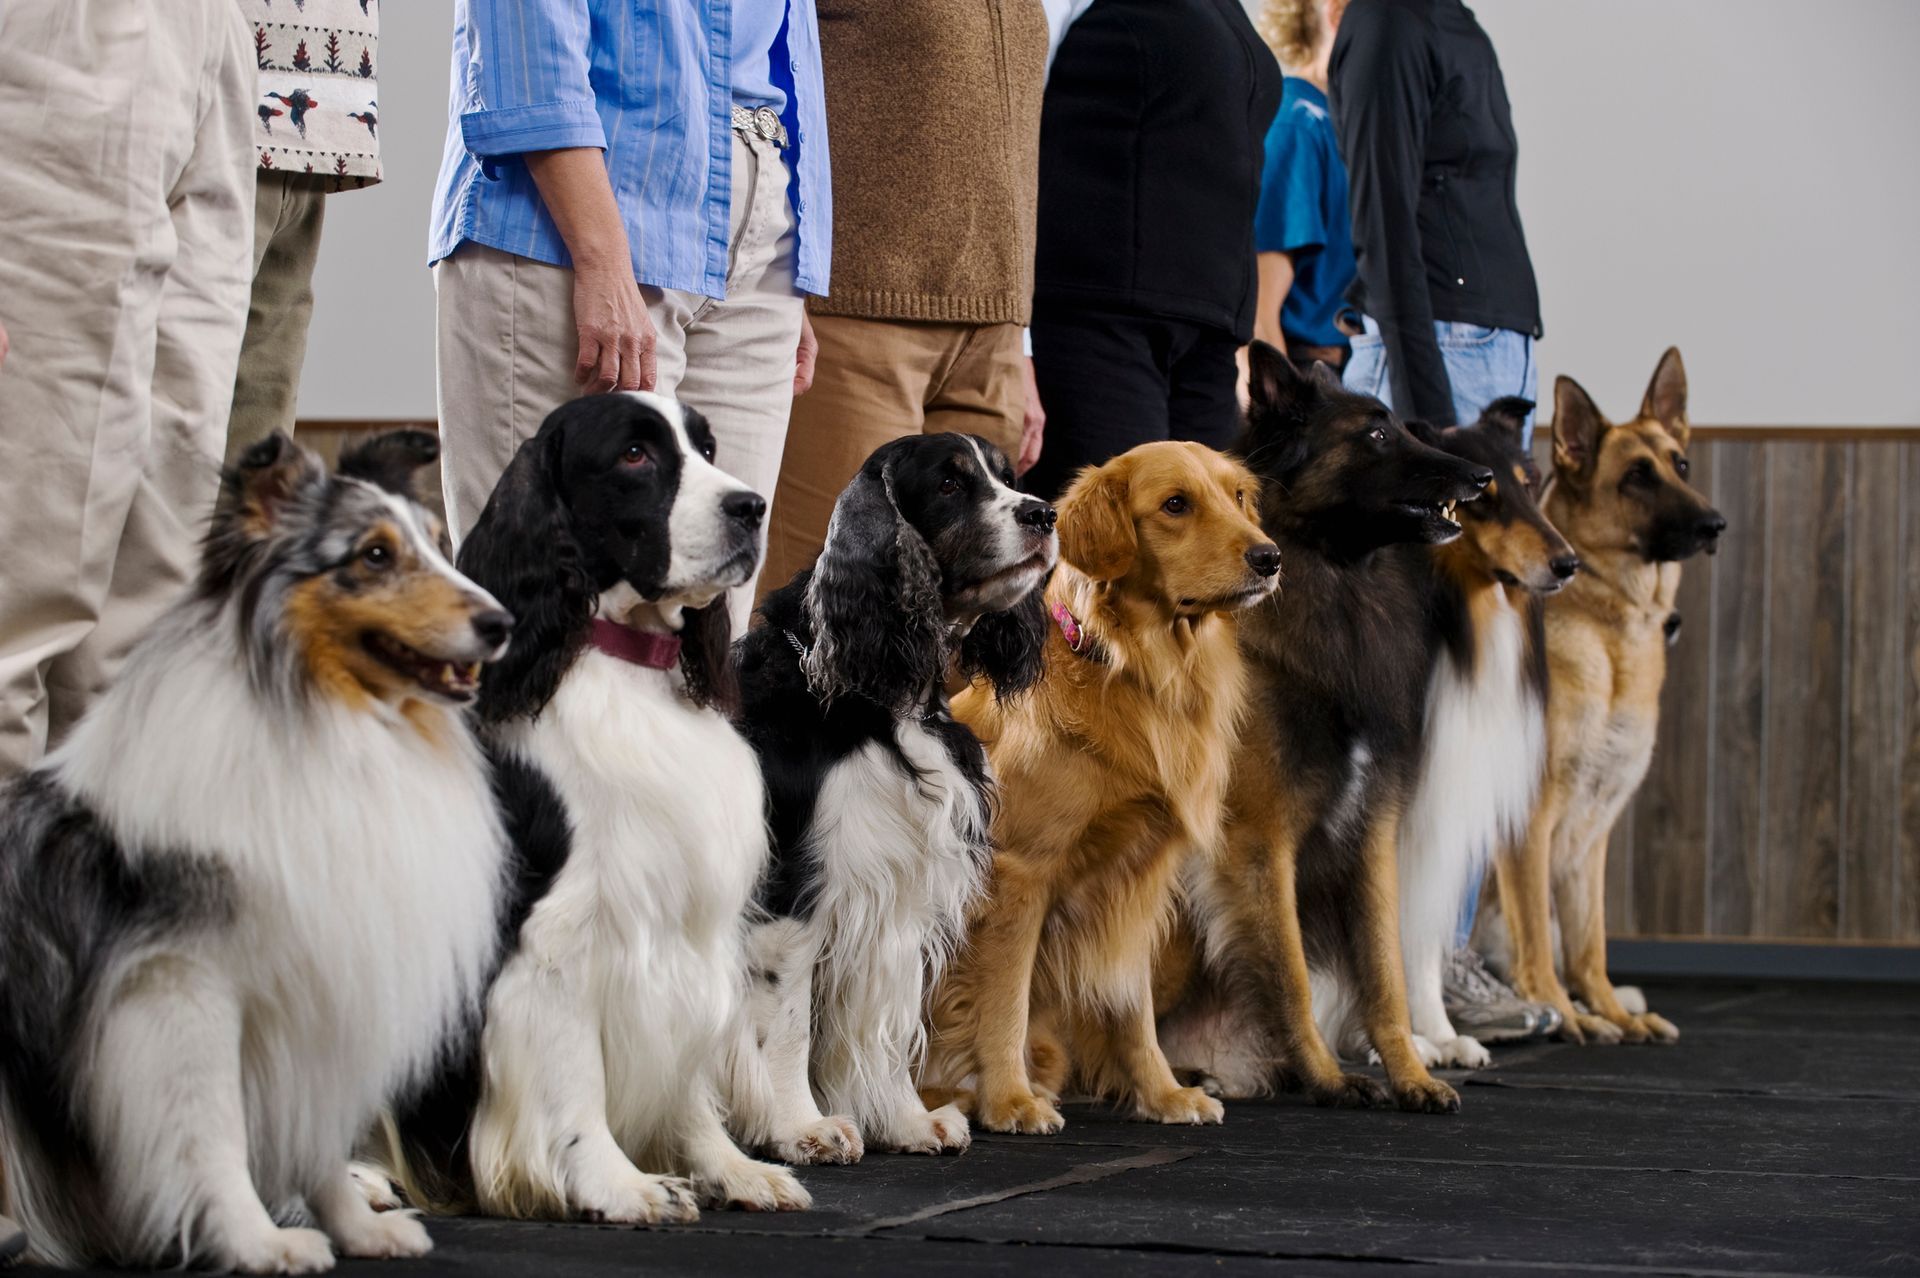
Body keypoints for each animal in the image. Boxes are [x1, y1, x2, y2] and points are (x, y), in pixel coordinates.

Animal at [1152, 343, 1482, 1112]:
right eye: (1377, 434)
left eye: (1405, 426)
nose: (1481, 476)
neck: (1337, 580)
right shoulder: (1259, 840)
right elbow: (1293, 972)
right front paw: (1329, 1079)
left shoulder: (1372, 832)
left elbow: (1386, 975)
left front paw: (1411, 1076)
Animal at [1466, 343, 1728, 1043]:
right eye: (1636, 477)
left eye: (1680, 464)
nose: (1714, 523)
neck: (1611, 631)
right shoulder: (1529, 822)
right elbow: (1535, 931)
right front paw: (1562, 1010)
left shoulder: (1591, 833)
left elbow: (1591, 940)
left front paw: (1607, 1010)